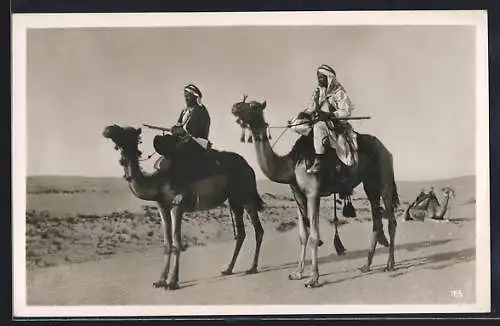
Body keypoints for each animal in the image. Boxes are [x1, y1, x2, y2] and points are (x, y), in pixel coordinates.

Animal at [102, 125, 266, 290]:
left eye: (126, 132)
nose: (107, 130)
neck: (159, 181)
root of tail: (249, 167)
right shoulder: (163, 207)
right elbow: (167, 243)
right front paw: (160, 281)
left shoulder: (177, 206)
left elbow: (177, 243)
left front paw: (172, 282)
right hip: (234, 200)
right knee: (241, 233)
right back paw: (228, 269)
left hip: (246, 195)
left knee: (258, 229)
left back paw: (252, 268)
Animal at [229, 98, 398, 288]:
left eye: (253, 106)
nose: (234, 107)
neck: (291, 164)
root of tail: (386, 150)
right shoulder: (298, 196)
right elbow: (303, 235)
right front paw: (297, 273)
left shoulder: (313, 193)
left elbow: (314, 236)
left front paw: (313, 278)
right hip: (370, 185)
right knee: (376, 221)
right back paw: (366, 266)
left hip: (384, 177)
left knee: (391, 220)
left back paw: (389, 264)